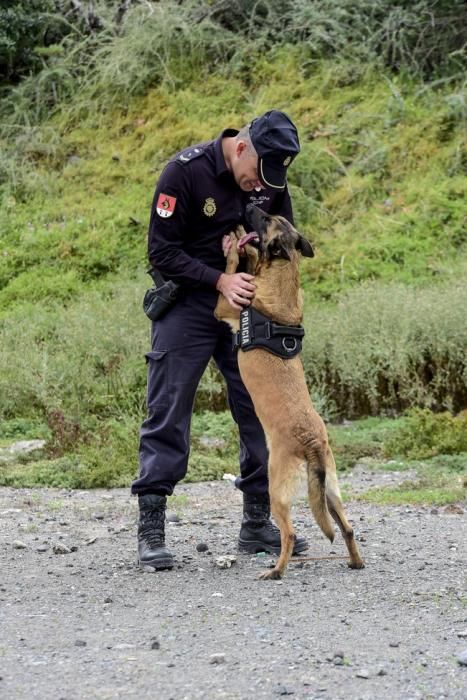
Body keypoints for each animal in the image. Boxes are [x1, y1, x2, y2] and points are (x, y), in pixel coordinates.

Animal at [216, 205, 366, 584]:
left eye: (267, 219)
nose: (248, 207)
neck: (283, 273)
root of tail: (311, 442)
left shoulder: (224, 306)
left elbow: (230, 270)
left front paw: (233, 247)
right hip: (329, 492)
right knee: (347, 528)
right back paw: (355, 562)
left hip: (278, 491)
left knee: (291, 533)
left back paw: (276, 571)